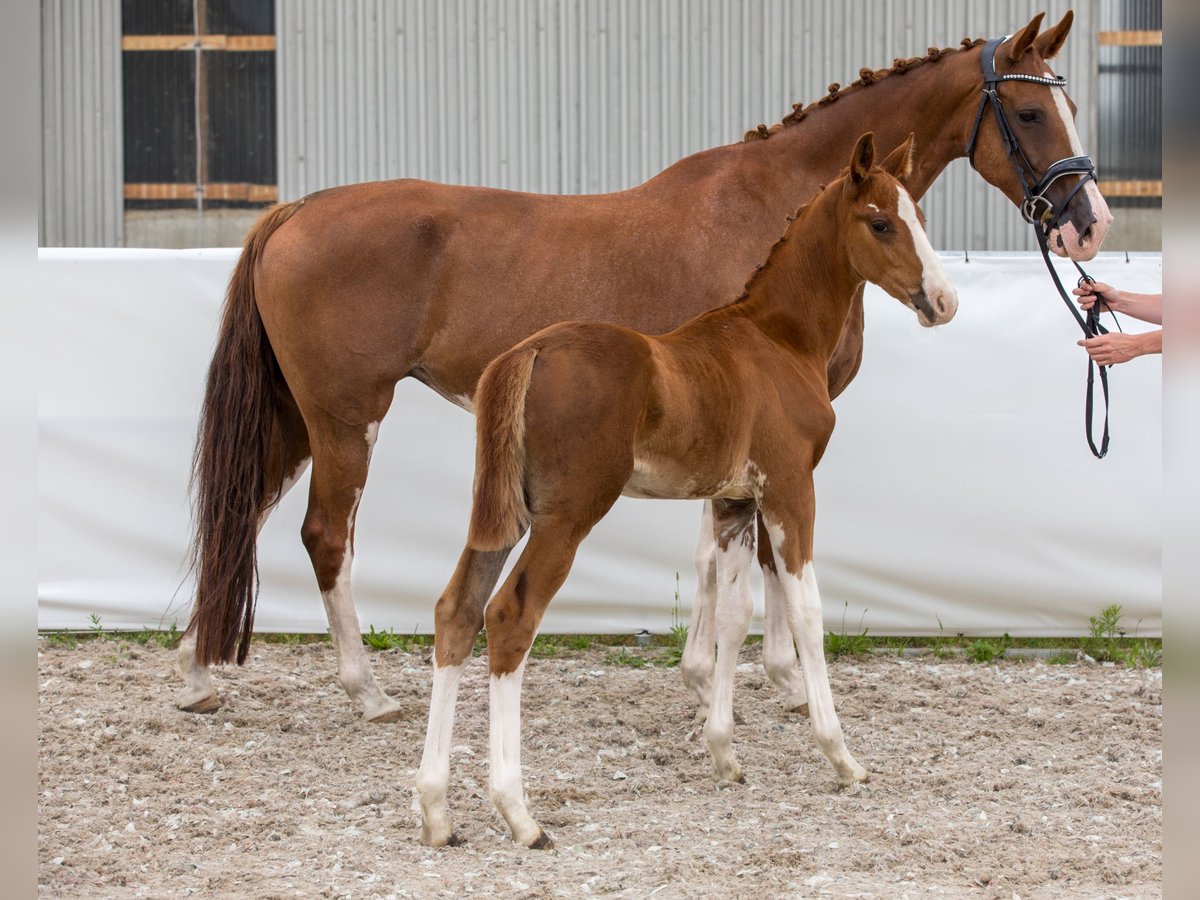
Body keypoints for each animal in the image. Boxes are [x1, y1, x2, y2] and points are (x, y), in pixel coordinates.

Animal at [420, 130, 955, 849]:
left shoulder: (733, 501)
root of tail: (528, 353)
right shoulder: (792, 489)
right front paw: (841, 756)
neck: (778, 337)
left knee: (458, 610)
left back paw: (435, 809)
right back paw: (519, 814)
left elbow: (732, 613)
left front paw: (724, 753)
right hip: (567, 517)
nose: (943, 301)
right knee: (509, 618)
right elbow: (807, 611)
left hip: (505, 513)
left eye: (918, 216)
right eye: (880, 223)